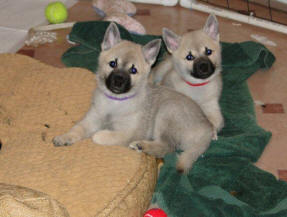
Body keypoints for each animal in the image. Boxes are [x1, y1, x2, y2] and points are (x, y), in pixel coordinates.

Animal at [53, 22, 214, 173]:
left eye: (133, 70)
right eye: (113, 63)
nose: (118, 80)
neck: (115, 102)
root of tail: (207, 129)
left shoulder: (130, 132)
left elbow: (109, 136)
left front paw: (99, 135)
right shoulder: (92, 119)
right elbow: (78, 128)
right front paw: (65, 137)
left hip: (167, 111)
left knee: (167, 146)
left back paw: (141, 145)